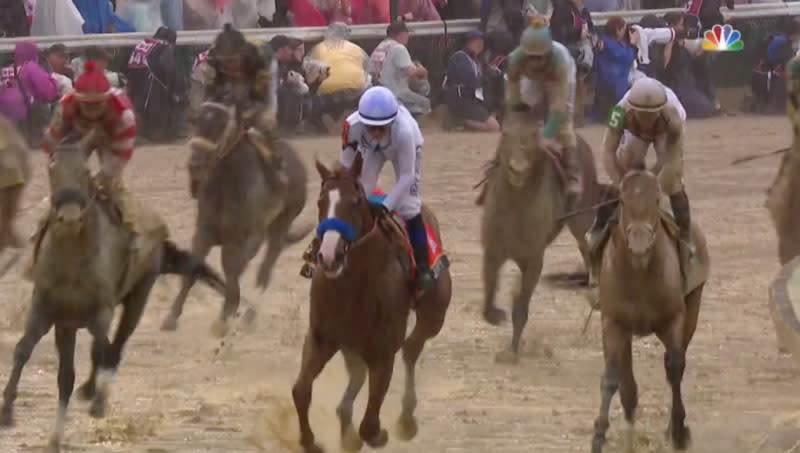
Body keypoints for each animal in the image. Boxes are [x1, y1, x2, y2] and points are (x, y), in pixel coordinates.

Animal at [0, 139, 225, 452]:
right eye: (51, 168)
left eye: (85, 170)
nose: (69, 218)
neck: (71, 261)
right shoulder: (48, 312)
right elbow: (27, 353)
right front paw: (8, 411)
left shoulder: (99, 312)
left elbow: (102, 350)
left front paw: (97, 400)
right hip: (71, 323)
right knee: (79, 366)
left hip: (139, 295)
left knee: (115, 346)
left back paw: (93, 393)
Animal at [161, 91, 310, 336]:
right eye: (197, 121)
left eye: (221, 125)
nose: (195, 164)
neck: (227, 185)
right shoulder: (203, 233)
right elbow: (193, 270)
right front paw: (171, 318)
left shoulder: (238, 241)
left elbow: (233, 270)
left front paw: (225, 317)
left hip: (279, 227)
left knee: (264, 271)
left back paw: (250, 315)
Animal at [290, 153, 454, 452]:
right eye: (320, 201)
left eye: (355, 202)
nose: (328, 256)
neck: (352, 285)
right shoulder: (321, 339)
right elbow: (300, 390)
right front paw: (310, 441)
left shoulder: (383, 350)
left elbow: (369, 423)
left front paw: (376, 434)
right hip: (352, 343)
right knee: (357, 374)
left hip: (434, 316)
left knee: (411, 350)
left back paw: (406, 419)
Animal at [592, 168, 708, 450]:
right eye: (622, 201)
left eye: (656, 200)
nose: (639, 244)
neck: (640, 274)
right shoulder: (613, 323)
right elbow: (611, 378)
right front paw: (599, 435)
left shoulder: (674, 319)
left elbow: (675, 367)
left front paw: (678, 431)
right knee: (628, 386)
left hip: (692, 312)